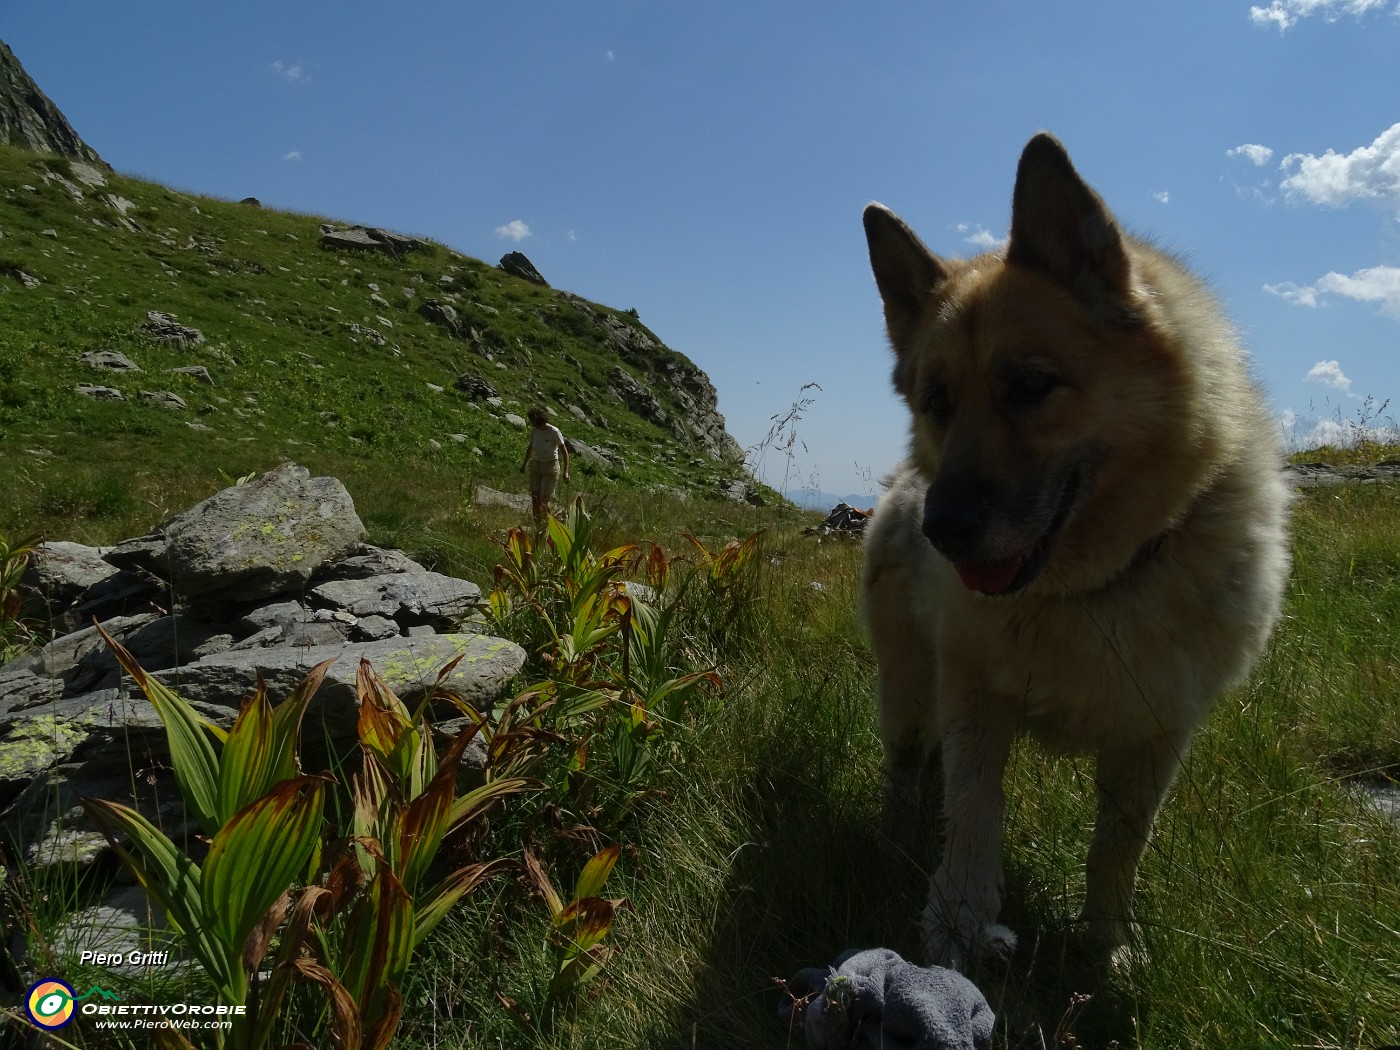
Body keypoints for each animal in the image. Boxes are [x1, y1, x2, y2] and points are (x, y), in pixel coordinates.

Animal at [862, 131, 1288, 968]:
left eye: (1031, 386)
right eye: (937, 401)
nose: (942, 529)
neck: (1091, 585)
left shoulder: (1155, 738)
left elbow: (1118, 848)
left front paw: (1109, 945)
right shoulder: (974, 702)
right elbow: (976, 818)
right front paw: (957, 928)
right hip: (910, 688)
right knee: (905, 766)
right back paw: (893, 841)